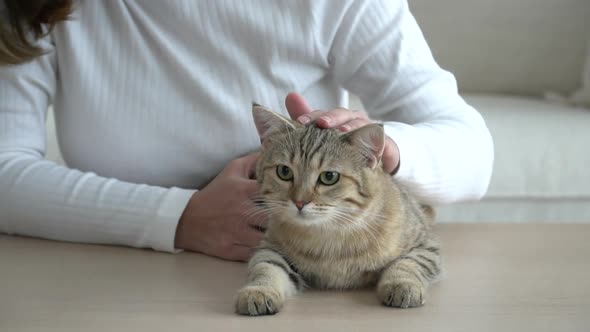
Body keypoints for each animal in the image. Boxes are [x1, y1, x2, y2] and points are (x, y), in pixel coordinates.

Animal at [235, 102, 440, 316]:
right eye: (284, 172)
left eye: (329, 177)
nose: (299, 202)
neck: (330, 235)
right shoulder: (271, 247)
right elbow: (266, 266)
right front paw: (259, 290)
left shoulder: (424, 246)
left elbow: (407, 263)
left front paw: (402, 284)